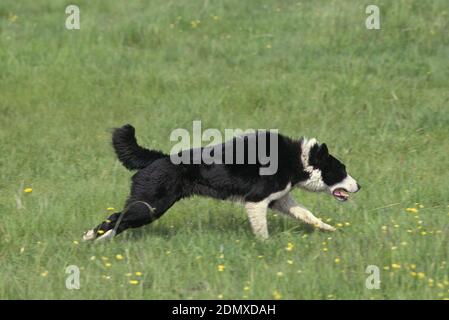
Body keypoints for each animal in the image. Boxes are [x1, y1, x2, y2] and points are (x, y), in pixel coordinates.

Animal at [82, 125, 358, 240]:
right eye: (342, 170)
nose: (360, 186)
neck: (298, 160)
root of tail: (159, 157)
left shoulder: (280, 200)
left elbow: (307, 214)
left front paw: (329, 229)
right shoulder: (256, 201)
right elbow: (262, 230)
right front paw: (266, 247)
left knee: (118, 220)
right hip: (151, 205)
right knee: (115, 218)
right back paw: (89, 238)